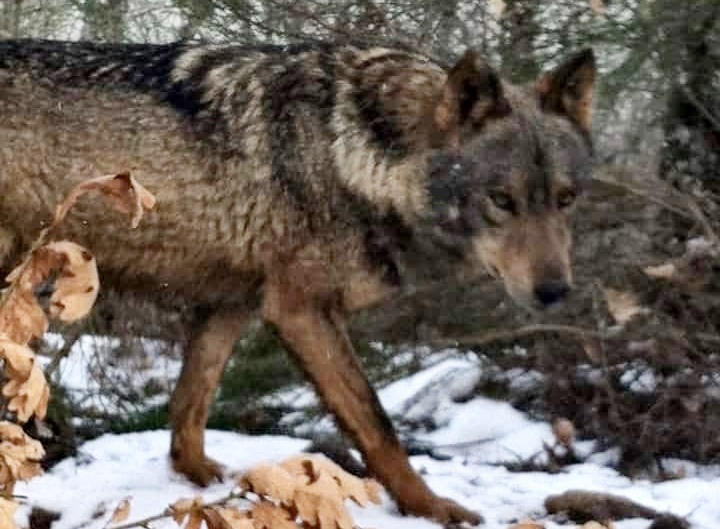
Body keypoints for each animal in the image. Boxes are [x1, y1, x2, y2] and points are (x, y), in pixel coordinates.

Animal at [0, 38, 595, 525]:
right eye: (502, 200)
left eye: (565, 199)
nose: (555, 292)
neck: (354, 156)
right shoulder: (301, 311)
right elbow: (379, 428)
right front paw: (432, 510)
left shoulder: (232, 305)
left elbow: (189, 410)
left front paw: (202, 484)